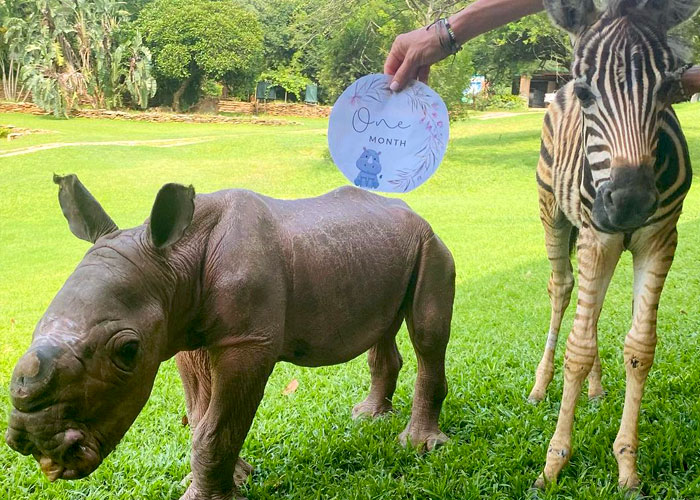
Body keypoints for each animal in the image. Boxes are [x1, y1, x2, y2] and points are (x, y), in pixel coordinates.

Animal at [5, 174, 456, 498]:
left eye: (128, 351)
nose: (38, 443)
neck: (174, 262)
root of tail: (412, 210)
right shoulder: (184, 335)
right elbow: (200, 416)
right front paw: (231, 479)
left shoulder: (248, 342)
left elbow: (216, 429)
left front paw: (207, 495)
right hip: (379, 248)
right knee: (382, 328)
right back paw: (368, 417)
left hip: (431, 244)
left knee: (428, 337)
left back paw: (420, 446)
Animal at [532, 0, 696, 488]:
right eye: (588, 94)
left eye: (669, 89)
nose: (630, 202)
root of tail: (556, 89)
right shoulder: (596, 237)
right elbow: (578, 348)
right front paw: (554, 462)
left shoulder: (659, 239)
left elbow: (640, 348)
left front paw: (626, 463)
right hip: (554, 215)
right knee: (562, 291)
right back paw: (540, 386)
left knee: (593, 311)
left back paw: (597, 387)